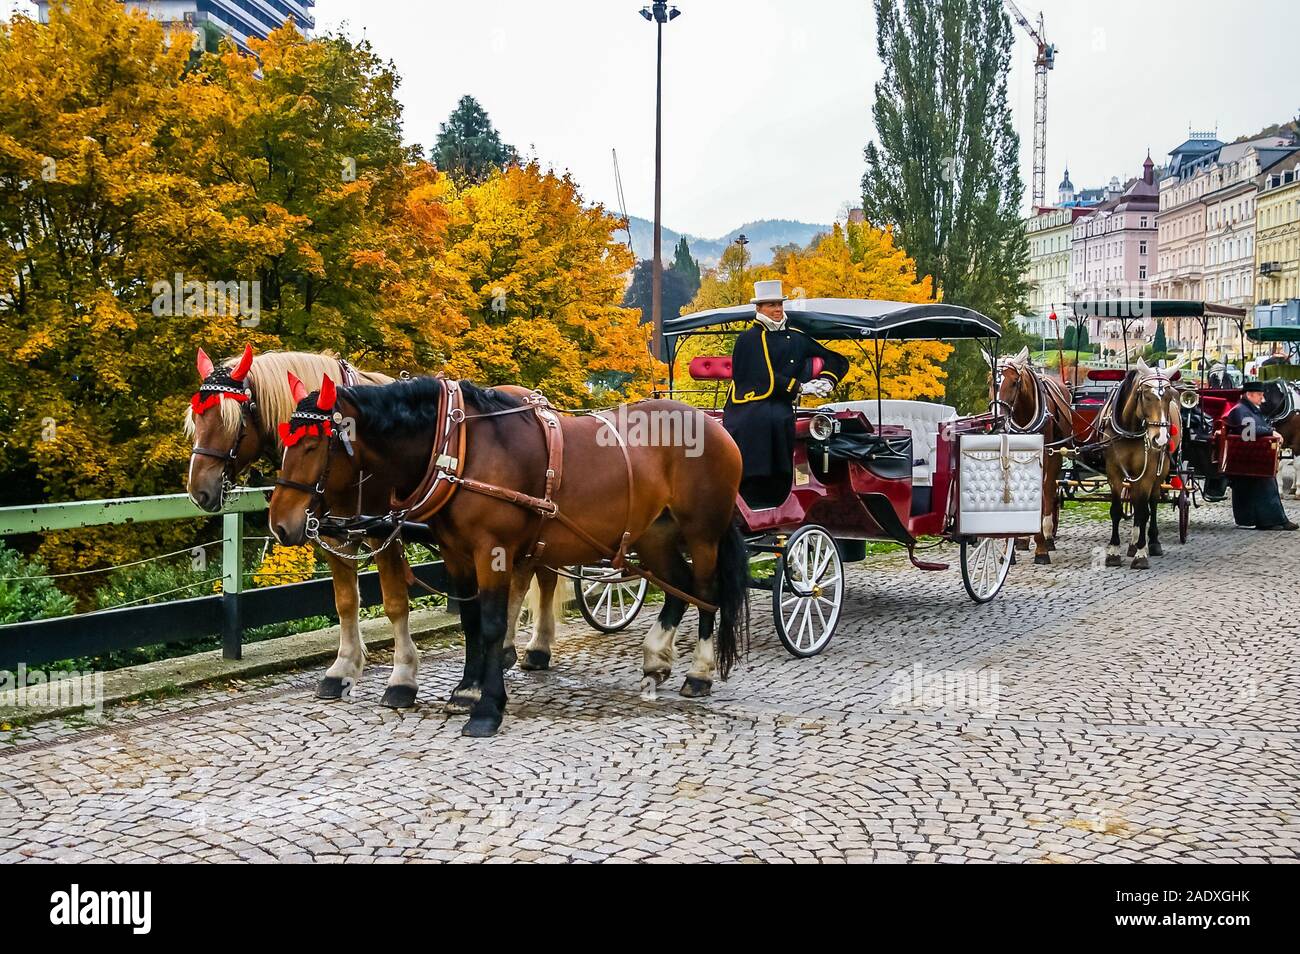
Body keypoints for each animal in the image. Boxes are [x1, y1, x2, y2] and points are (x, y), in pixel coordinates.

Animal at [266, 374, 754, 738]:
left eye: (313, 445)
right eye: (284, 441)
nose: (281, 523)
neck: (459, 448)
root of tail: (713, 425)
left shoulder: (493, 551)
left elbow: (493, 623)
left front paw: (488, 707)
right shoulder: (457, 554)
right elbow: (470, 623)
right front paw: (466, 690)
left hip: (703, 534)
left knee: (706, 593)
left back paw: (699, 673)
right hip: (654, 534)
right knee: (677, 588)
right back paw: (655, 659)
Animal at [993, 348, 1076, 564]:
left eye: (1014, 382)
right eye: (992, 381)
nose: (999, 421)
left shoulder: (1045, 455)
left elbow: (1041, 492)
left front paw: (1041, 548)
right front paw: (1008, 548)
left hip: (1056, 454)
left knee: (1048, 490)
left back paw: (1047, 537)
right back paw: (1023, 540)